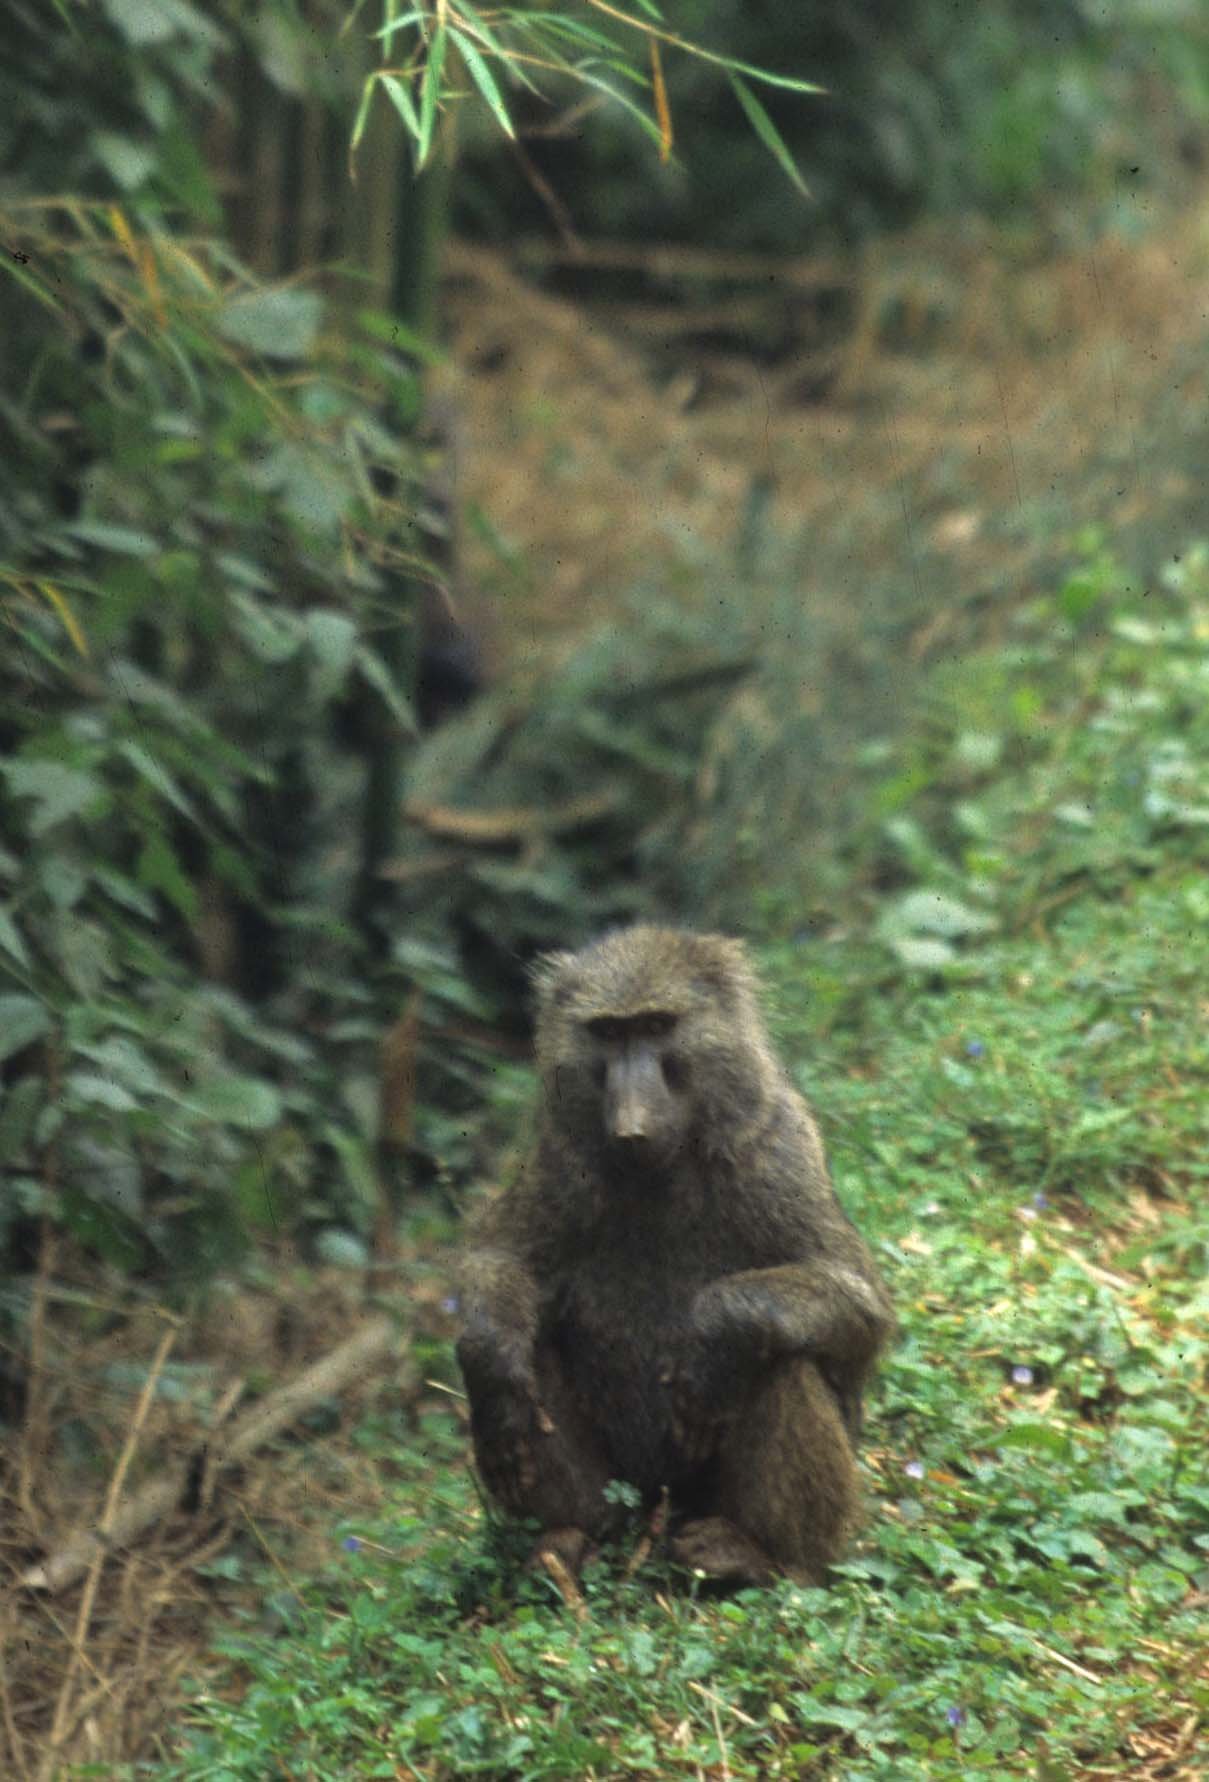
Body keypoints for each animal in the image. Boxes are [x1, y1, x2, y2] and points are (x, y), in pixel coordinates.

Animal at [455, 925, 894, 1588]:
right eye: (609, 1033)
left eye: (658, 1025)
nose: (631, 1124)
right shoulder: (560, 1161)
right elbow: (502, 1260)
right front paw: (493, 1381)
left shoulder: (775, 1151)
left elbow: (859, 1305)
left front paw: (714, 1335)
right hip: (626, 1487)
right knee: (535, 1342)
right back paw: (568, 1538)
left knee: (783, 1359)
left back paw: (762, 1557)